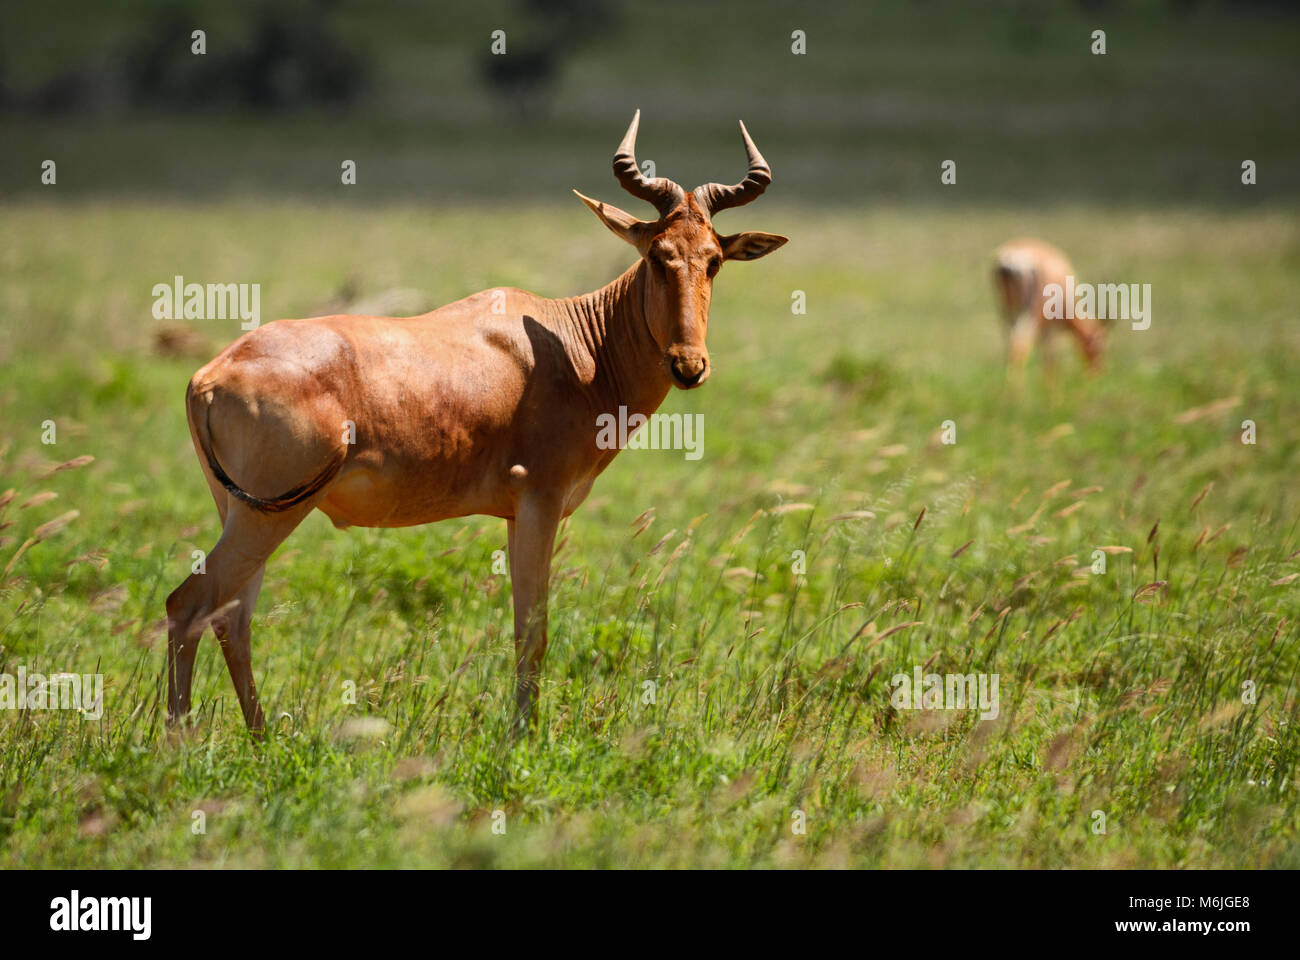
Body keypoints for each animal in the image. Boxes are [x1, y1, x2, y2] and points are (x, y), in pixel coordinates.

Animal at [165, 111, 788, 735]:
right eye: (658, 254)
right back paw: (179, 744)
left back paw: (260, 738)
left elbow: (520, 627)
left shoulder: (515, 513)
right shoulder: (540, 501)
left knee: (231, 616)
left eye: (714, 259)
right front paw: (523, 739)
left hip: (243, 510)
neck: (571, 344)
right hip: (269, 513)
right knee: (189, 604)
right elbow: (534, 631)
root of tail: (209, 376)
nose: (689, 366)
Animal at [992, 238, 1105, 373]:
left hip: (1006, 309)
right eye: (1098, 347)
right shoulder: (1050, 326)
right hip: (1030, 312)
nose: (1096, 371)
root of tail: (1011, 257)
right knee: (1020, 345)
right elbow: (1051, 358)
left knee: (1011, 345)